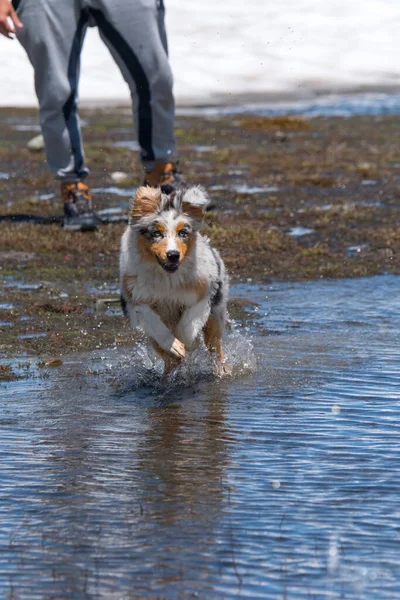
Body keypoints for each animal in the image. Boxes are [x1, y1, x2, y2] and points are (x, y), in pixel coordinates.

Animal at [119, 185, 228, 378]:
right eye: (156, 233)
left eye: (183, 233)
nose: (173, 255)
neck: (166, 277)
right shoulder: (135, 299)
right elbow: (153, 322)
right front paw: (175, 346)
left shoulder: (203, 293)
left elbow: (188, 324)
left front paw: (186, 343)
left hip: (216, 315)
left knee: (215, 347)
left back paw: (220, 370)